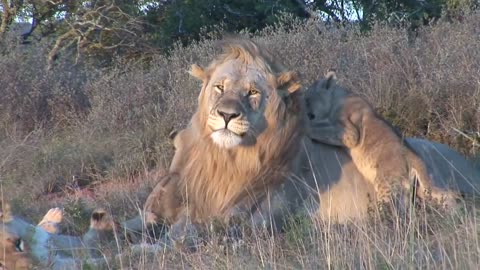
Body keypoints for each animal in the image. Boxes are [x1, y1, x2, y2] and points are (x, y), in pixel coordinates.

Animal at [306, 71, 460, 209]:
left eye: (308, 97)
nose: (305, 110)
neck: (336, 98)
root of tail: (416, 160)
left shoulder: (350, 133)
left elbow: (319, 129)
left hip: (387, 185)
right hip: (422, 189)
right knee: (444, 195)